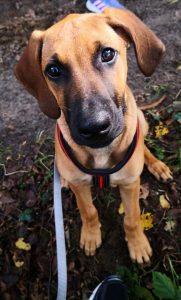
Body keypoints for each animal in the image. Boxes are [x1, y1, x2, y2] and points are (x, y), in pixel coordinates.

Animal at [14, 8, 172, 264]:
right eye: (53, 70)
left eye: (107, 53)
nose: (95, 127)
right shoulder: (81, 187)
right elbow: (88, 211)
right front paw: (90, 236)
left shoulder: (130, 185)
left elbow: (132, 219)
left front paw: (137, 244)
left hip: (142, 120)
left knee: (144, 146)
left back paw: (156, 165)